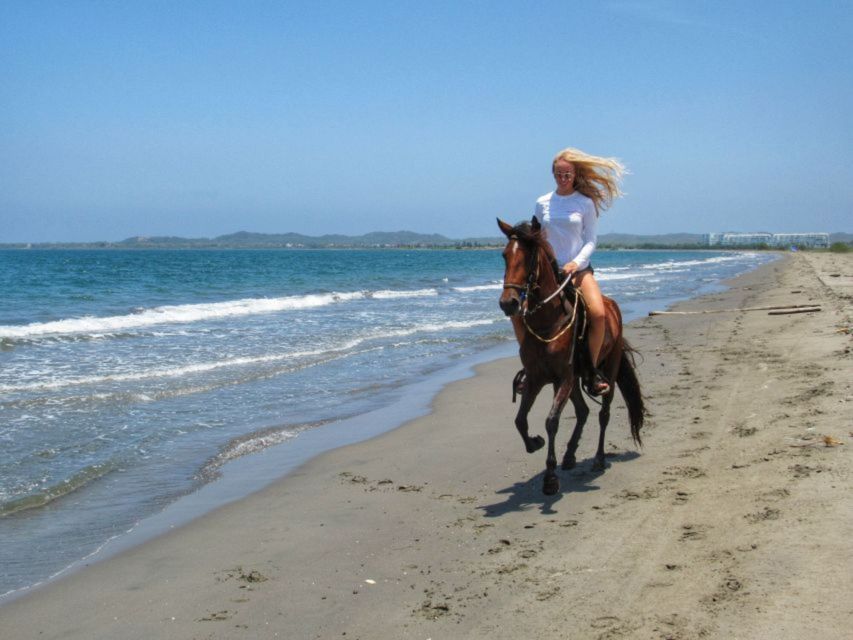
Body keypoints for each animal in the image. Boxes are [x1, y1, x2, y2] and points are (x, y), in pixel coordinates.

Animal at [496, 216, 644, 496]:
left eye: (530, 257)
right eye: (505, 255)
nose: (508, 303)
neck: (548, 322)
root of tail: (612, 308)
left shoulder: (563, 377)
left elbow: (552, 421)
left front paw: (550, 478)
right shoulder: (536, 378)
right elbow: (520, 420)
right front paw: (535, 443)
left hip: (608, 370)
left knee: (603, 414)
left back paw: (598, 459)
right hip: (574, 381)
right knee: (584, 411)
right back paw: (570, 455)